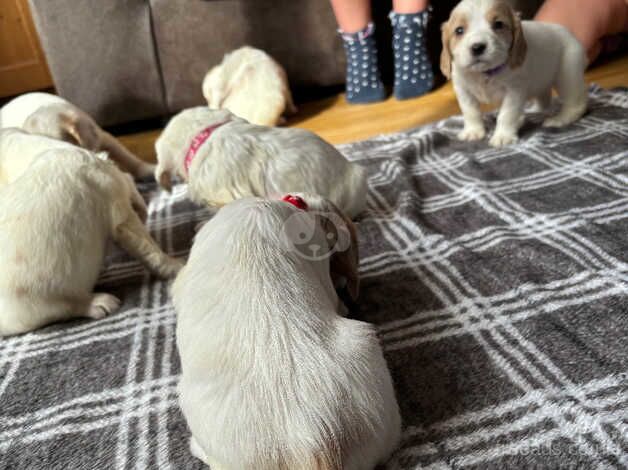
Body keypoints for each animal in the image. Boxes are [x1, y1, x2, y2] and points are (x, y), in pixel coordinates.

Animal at [442, 0, 588, 147]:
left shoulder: (514, 90)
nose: (477, 47)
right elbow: (470, 111)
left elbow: (506, 114)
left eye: (498, 24)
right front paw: (473, 131)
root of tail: (569, 33)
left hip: (567, 76)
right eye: (459, 30)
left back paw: (560, 119)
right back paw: (534, 111)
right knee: (545, 99)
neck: (484, 73)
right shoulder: (463, 90)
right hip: (542, 81)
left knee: (576, 104)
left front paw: (503, 135)